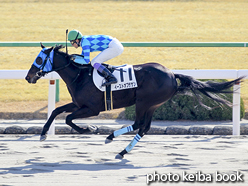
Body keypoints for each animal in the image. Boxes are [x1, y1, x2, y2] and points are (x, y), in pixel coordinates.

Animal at [26, 44, 243, 158]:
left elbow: (68, 119)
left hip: (144, 102)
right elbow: (56, 112)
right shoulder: (80, 104)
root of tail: (172, 75)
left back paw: (112, 137)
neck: (80, 76)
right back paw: (123, 151)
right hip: (153, 104)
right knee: (144, 127)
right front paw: (43, 134)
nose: (28, 77)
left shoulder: (92, 108)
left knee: (139, 123)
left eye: (39, 59)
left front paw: (89, 129)